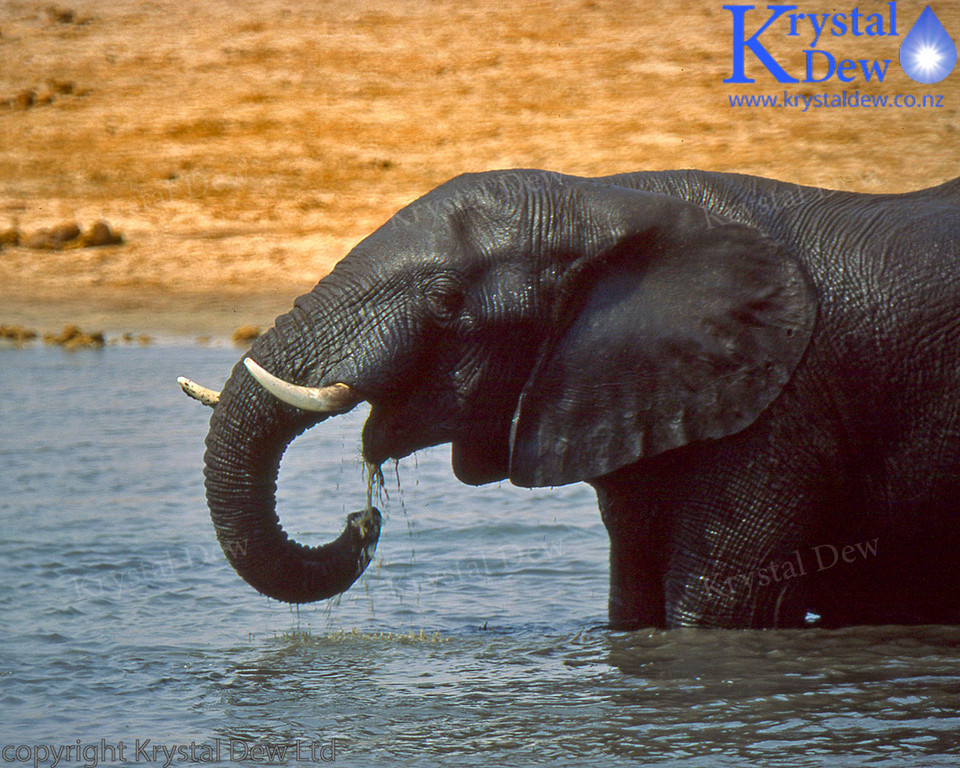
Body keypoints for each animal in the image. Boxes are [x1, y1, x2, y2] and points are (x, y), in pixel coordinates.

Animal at [178, 170, 960, 632]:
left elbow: (712, 611)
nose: (359, 521)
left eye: (445, 302)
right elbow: (633, 600)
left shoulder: (783, 417)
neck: (611, 202)